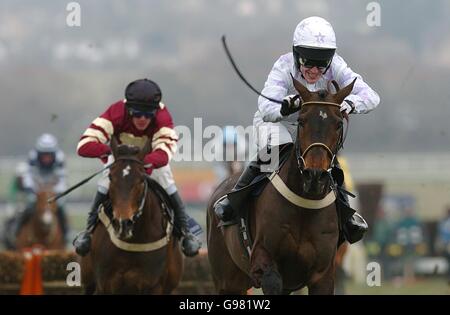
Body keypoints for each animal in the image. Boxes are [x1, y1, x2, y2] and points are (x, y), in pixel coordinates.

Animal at [206, 77, 356, 296]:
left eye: (337, 124)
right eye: (301, 121)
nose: (315, 176)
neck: (305, 204)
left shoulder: (323, 274)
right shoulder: (265, 263)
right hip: (227, 281)